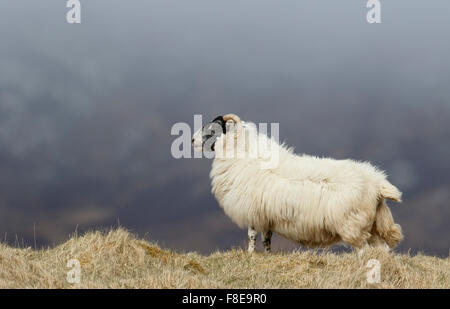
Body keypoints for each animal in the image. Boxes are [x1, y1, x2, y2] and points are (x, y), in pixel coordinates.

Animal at [192, 113, 402, 253]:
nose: (193, 140)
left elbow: (252, 236)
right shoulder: (266, 216)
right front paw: (267, 256)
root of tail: (377, 182)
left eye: (212, 129)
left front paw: (250, 256)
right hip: (374, 226)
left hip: (354, 225)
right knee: (381, 250)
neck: (243, 153)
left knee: (364, 250)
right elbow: (266, 240)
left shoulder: (251, 211)